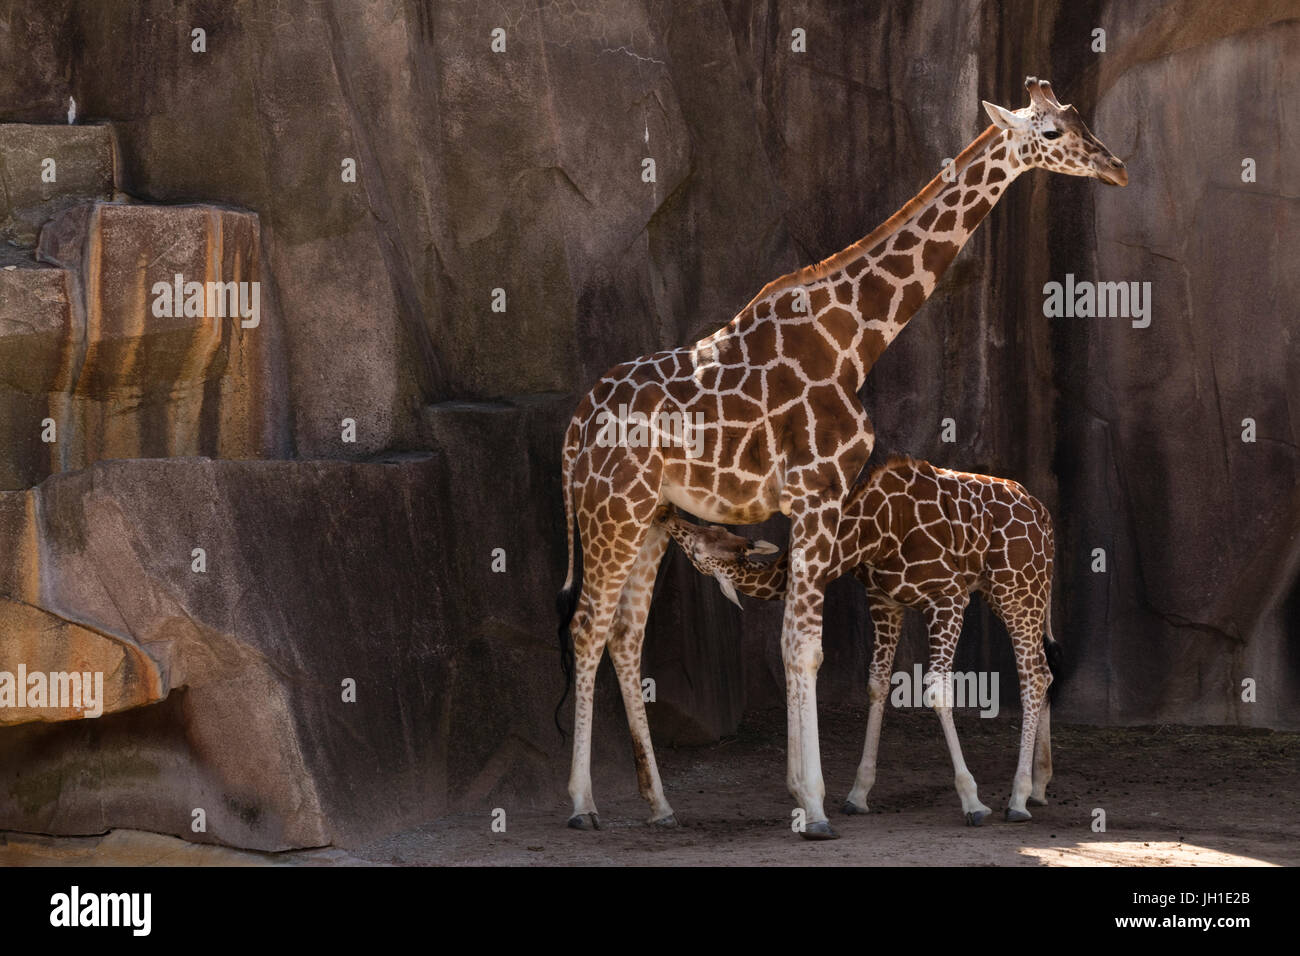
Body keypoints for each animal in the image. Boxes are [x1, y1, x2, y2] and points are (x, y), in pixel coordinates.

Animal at [655, 455, 1060, 822]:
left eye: (699, 546)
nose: (667, 516)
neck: (874, 533)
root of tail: (1044, 516)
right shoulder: (884, 600)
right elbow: (876, 684)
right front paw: (858, 793)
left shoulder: (947, 596)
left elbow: (936, 690)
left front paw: (973, 801)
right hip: (1009, 593)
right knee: (1044, 671)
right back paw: (1039, 787)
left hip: (1017, 588)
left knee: (1032, 676)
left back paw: (1018, 799)